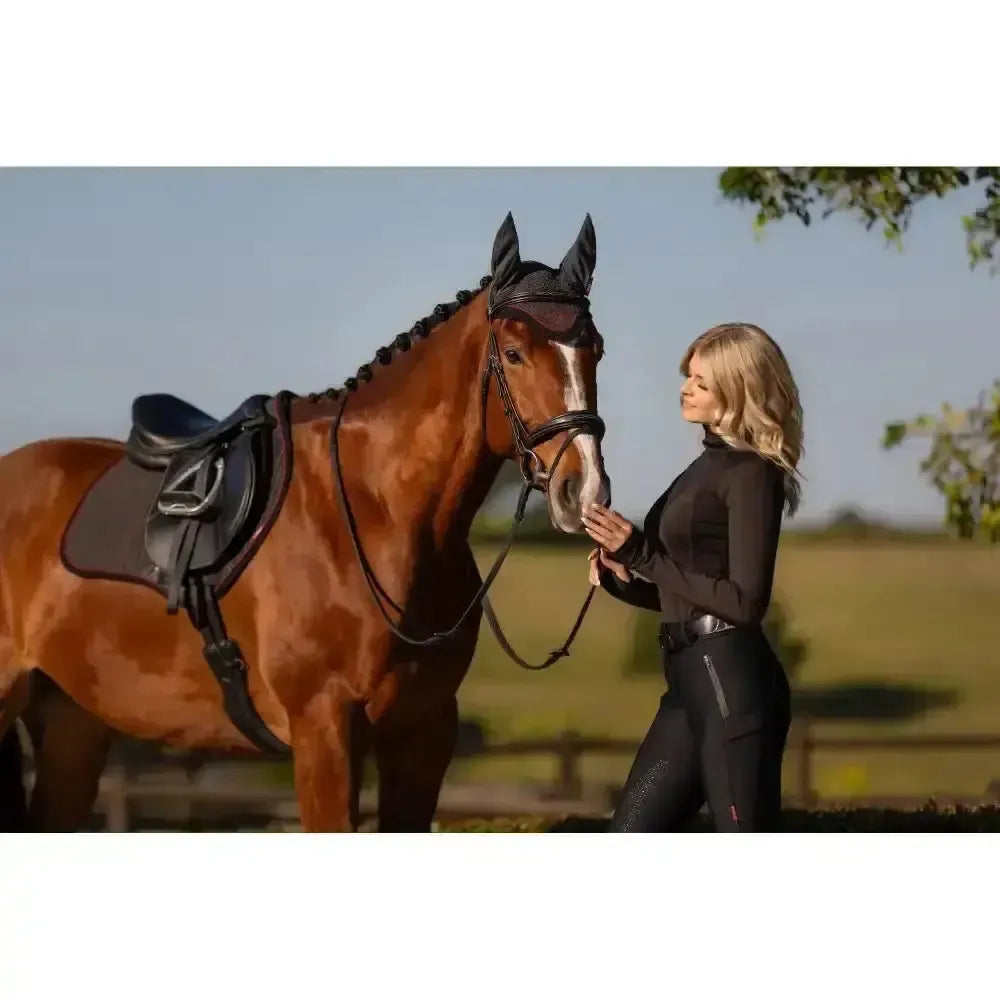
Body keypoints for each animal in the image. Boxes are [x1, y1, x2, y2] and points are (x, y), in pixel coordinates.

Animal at [0, 212, 611, 832]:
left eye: (597, 351)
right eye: (513, 353)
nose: (582, 489)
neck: (378, 516)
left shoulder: (424, 732)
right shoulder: (325, 730)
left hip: (73, 723)